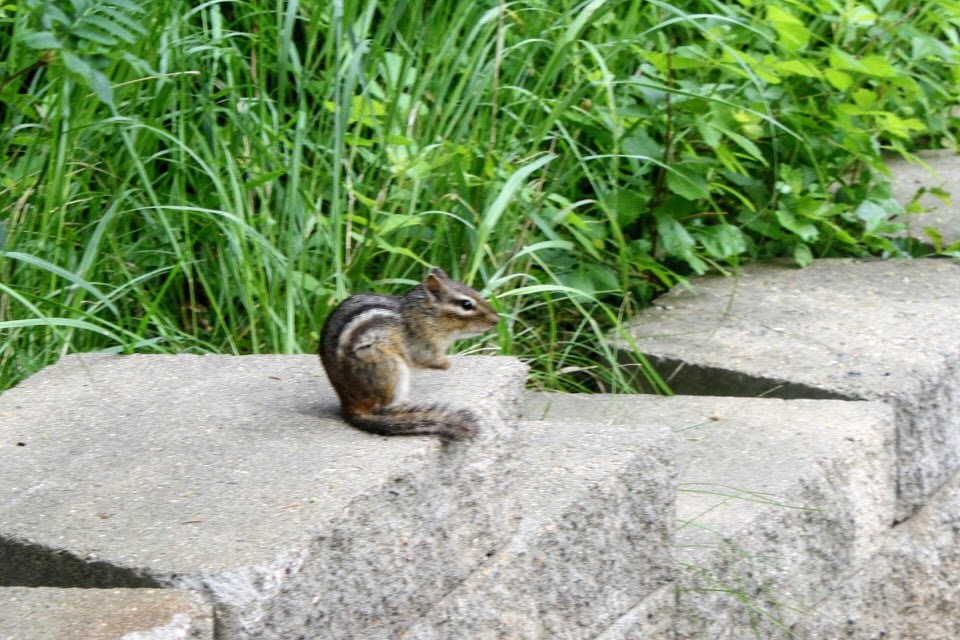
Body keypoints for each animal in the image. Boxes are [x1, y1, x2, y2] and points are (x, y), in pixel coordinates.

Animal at [319, 267, 500, 440]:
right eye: (466, 304)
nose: (496, 320)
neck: (423, 314)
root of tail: (349, 404)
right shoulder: (420, 343)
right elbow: (427, 359)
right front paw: (447, 364)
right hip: (390, 366)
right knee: (381, 405)